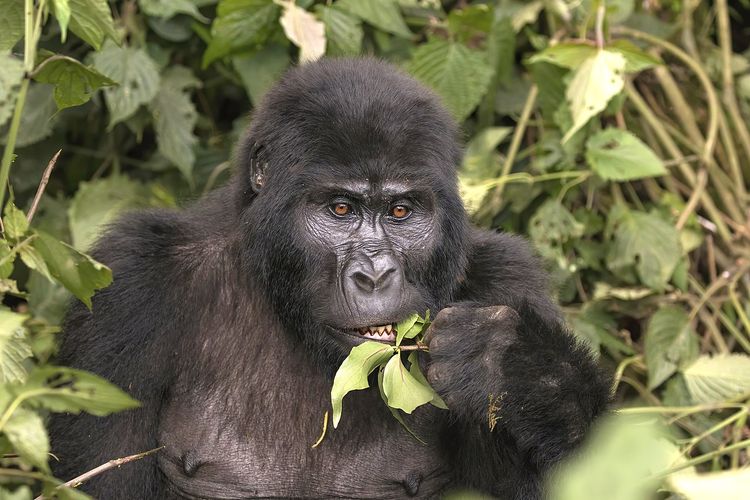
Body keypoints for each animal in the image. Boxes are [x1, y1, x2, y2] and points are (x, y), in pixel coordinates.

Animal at [48, 59, 612, 500]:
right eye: (340, 209)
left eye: (401, 211)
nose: (375, 274)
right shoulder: (129, 286)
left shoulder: (506, 278)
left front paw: (515, 366)